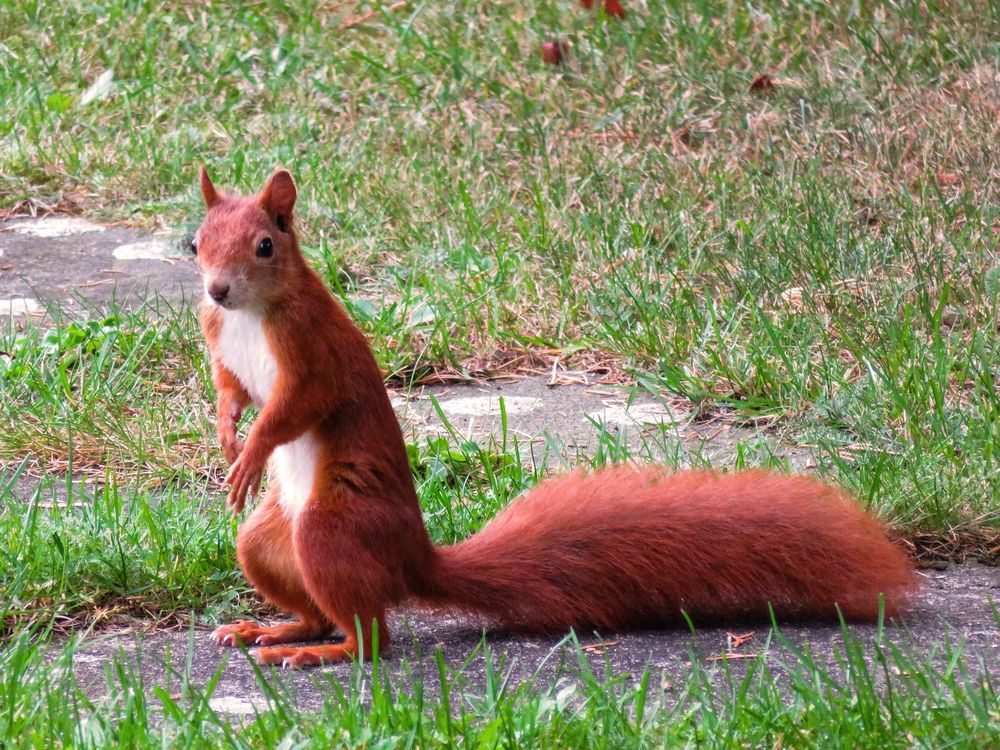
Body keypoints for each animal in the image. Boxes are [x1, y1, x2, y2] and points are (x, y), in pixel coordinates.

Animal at [192, 167, 918, 668]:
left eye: (265, 245)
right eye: (195, 241)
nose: (216, 289)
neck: (250, 315)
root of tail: (413, 559)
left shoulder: (313, 353)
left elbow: (295, 409)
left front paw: (251, 451)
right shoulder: (221, 342)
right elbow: (230, 387)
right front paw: (228, 429)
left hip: (331, 528)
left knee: (372, 637)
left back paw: (321, 651)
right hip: (267, 544)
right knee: (316, 605)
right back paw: (274, 629)